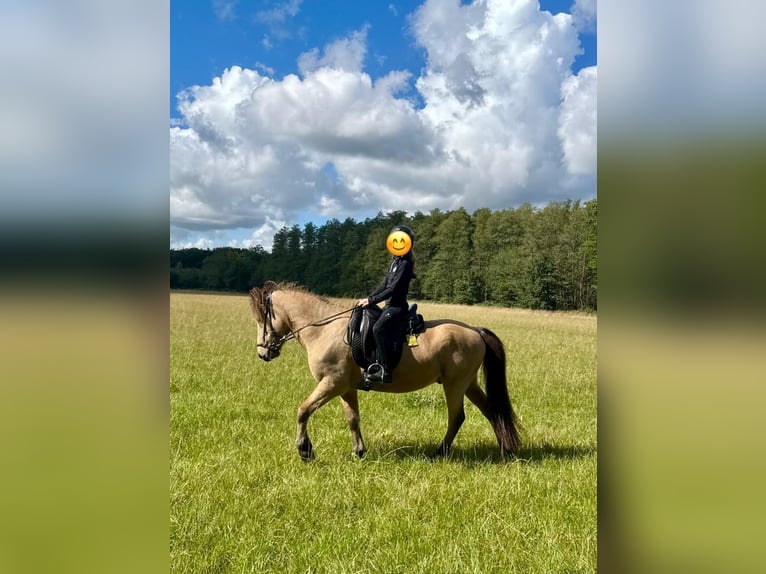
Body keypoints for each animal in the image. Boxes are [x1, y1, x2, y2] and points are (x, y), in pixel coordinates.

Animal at [249, 281, 521, 461]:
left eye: (262, 319)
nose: (263, 352)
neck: (324, 329)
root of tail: (475, 331)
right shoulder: (345, 387)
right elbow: (353, 419)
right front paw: (359, 452)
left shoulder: (332, 383)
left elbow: (303, 410)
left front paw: (305, 450)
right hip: (468, 384)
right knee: (492, 411)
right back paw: (505, 450)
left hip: (455, 385)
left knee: (457, 417)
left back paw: (439, 453)